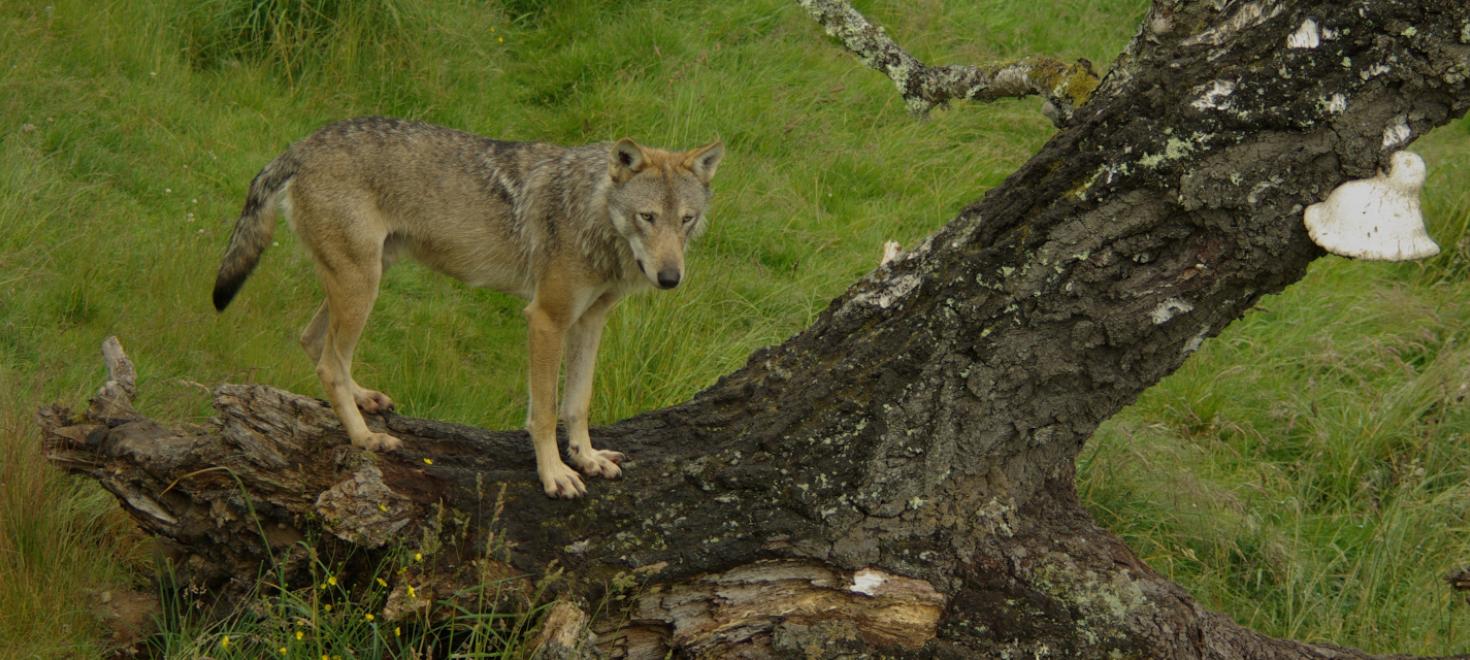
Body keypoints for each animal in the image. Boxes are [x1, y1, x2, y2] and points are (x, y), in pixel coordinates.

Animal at [211, 117, 723, 499]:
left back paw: (364, 399)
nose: (670, 278)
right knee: (329, 363)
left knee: (313, 341)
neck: (591, 213)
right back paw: (364, 437)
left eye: (686, 220)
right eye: (646, 217)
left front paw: (588, 457)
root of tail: (302, 144)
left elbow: (578, 404)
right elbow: (544, 411)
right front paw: (555, 474)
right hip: (362, 286)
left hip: (366, 278)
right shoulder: (546, 319)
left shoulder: (589, 321)